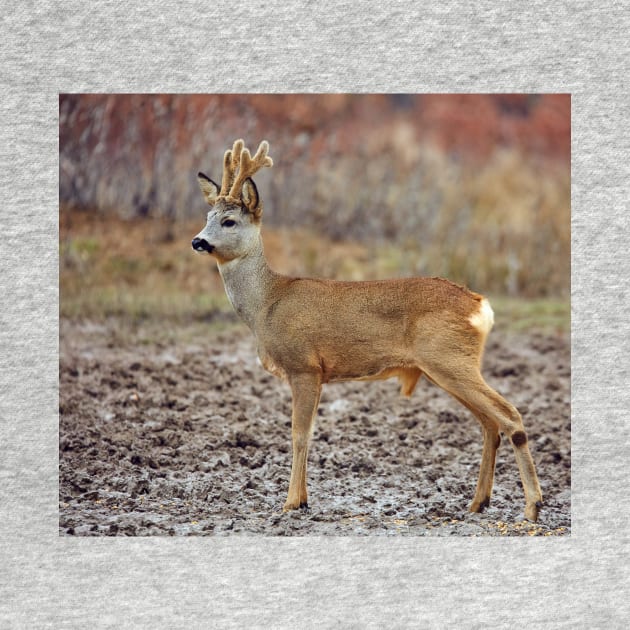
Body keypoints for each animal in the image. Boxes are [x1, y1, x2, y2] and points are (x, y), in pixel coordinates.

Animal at [191, 138, 544, 524]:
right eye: (207, 217)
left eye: (229, 220)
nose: (197, 242)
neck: (267, 302)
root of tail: (480, 305)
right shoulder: (316, 373)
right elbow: (308, 433)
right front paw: (302, 500)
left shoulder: (304, 366)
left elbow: (300, 434)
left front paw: (291, 502)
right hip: (449, 366)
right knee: (490, 425)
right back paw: (478, 502)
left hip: (449, 359)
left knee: (509, 415)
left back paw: (532, 506)